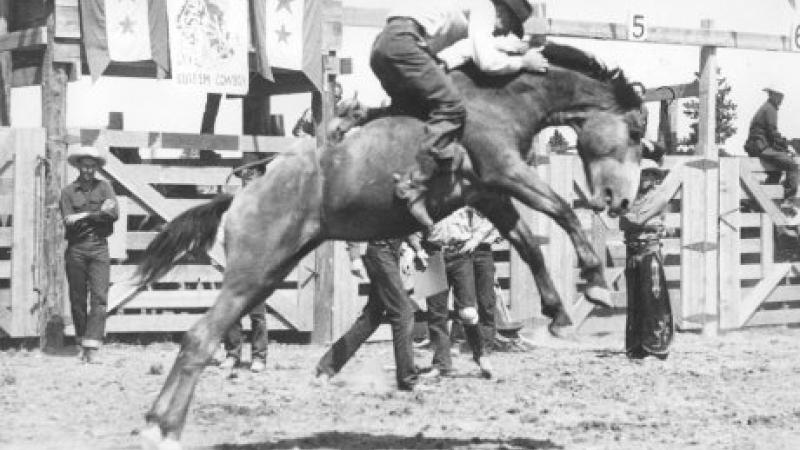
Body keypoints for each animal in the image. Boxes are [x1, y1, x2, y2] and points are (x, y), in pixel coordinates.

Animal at [138, 42, 644, 450]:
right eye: (637, 134)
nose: (620, 201)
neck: (498, 101)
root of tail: (241, 194)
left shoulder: (489, 194)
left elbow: (528, 244)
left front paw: (558, 312)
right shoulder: (506, 173)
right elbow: (563, 212)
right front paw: (596, 284)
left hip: (268, 274)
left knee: (201, 336)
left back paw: (155, 421)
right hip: (251, 274)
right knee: (199, 337)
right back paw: (163, 430)